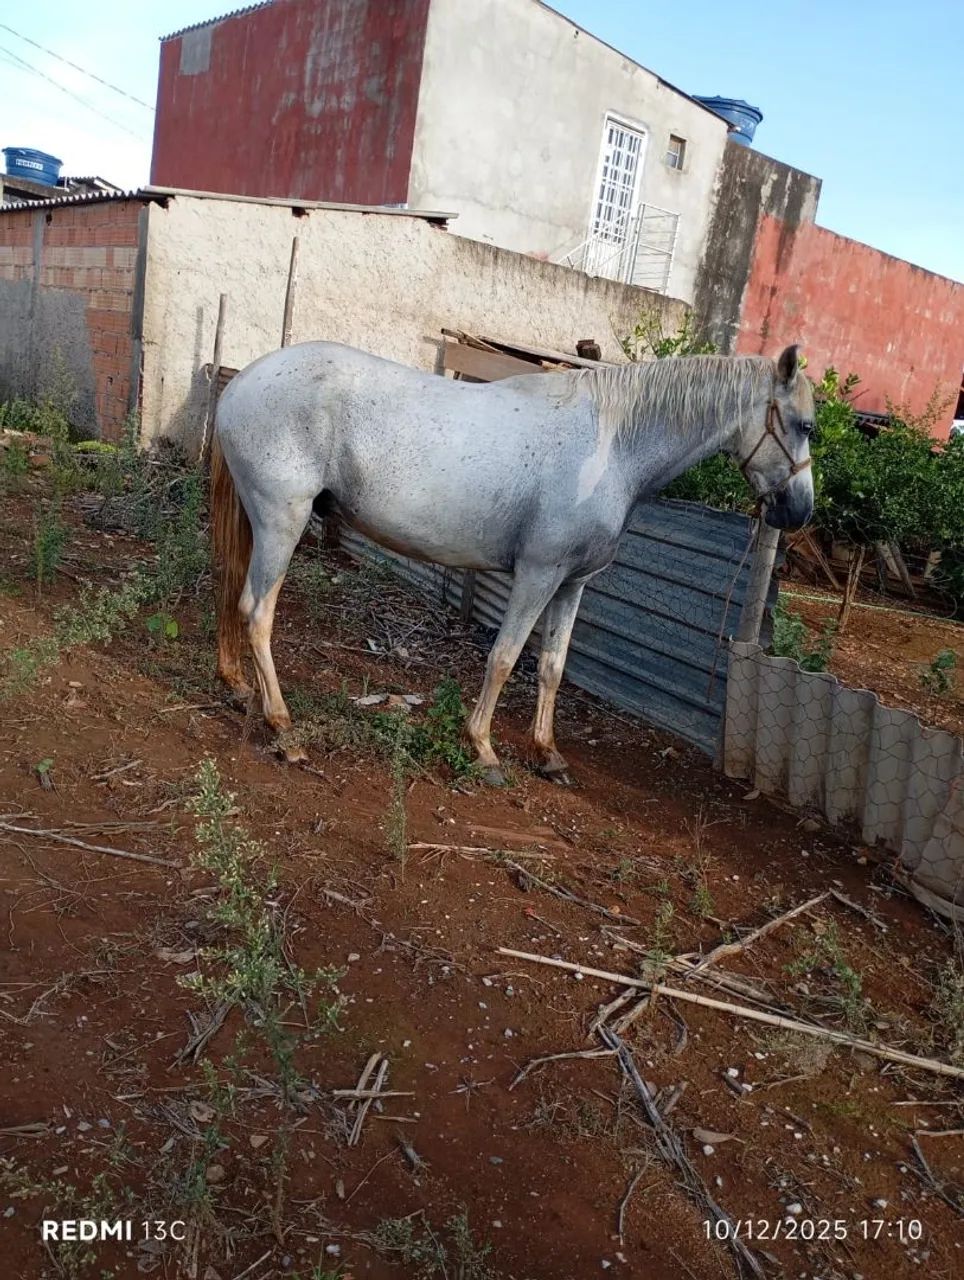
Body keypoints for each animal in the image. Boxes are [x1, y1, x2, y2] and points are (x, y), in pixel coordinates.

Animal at [210, 341, 814, 783]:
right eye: (805, 424)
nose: (800, 511)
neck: (610, 446)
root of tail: (241, 384)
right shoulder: (536, 575)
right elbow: (504, 657)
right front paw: (482, 747)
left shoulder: (572, 584)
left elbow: (552, 666)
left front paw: (547, 752)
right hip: (282, 523)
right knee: (258, 612)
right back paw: (282, 727)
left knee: (234, 595)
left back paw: (237, 687)